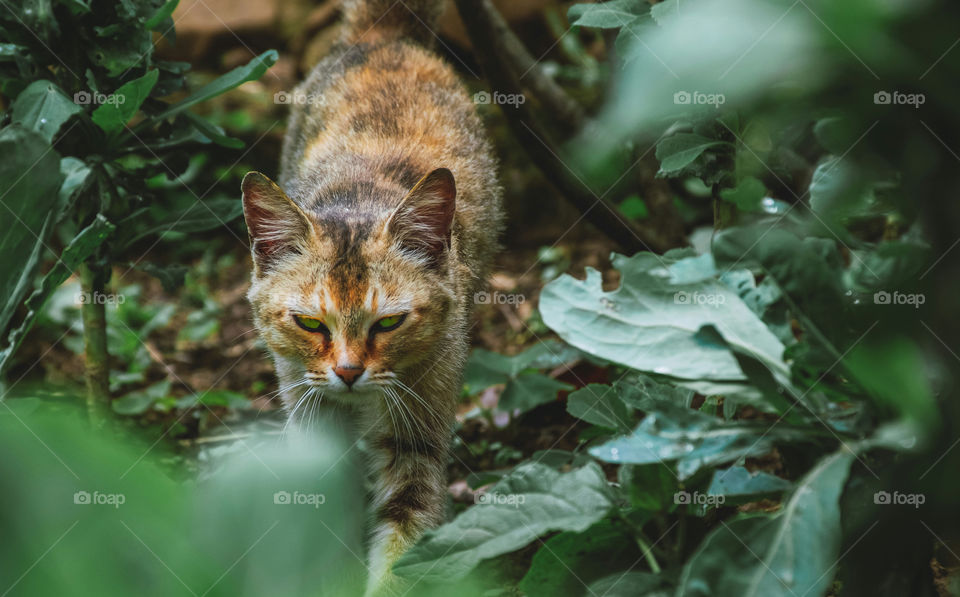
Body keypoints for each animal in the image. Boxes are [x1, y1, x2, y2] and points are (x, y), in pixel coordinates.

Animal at [239, 2, 502, 592]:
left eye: (388, 323)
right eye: (310, 323)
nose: (348, 372)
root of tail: (383, 37)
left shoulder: (418, 444)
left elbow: (404, 548)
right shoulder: (311, 422)